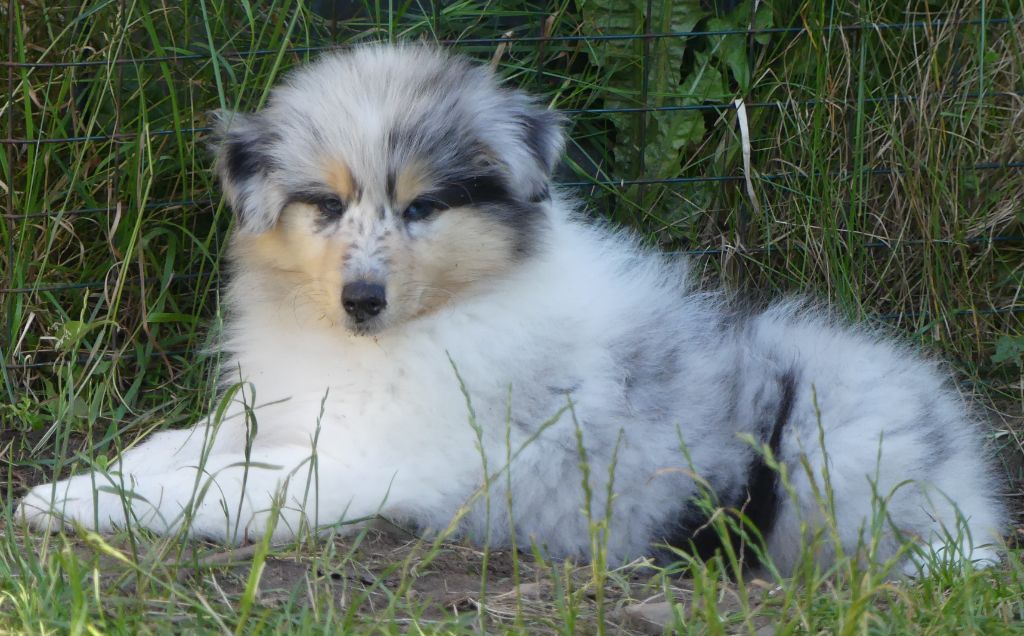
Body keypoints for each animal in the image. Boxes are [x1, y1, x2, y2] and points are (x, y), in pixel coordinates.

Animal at [19, 43, 1003, 569]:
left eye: (422, 207)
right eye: (325, 205)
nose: (361, 299)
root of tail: (973, 486)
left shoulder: (368, 463)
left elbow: (222, 485)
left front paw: (68, 500)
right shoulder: (289, 403)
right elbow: (195, 438)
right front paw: (97, 474)